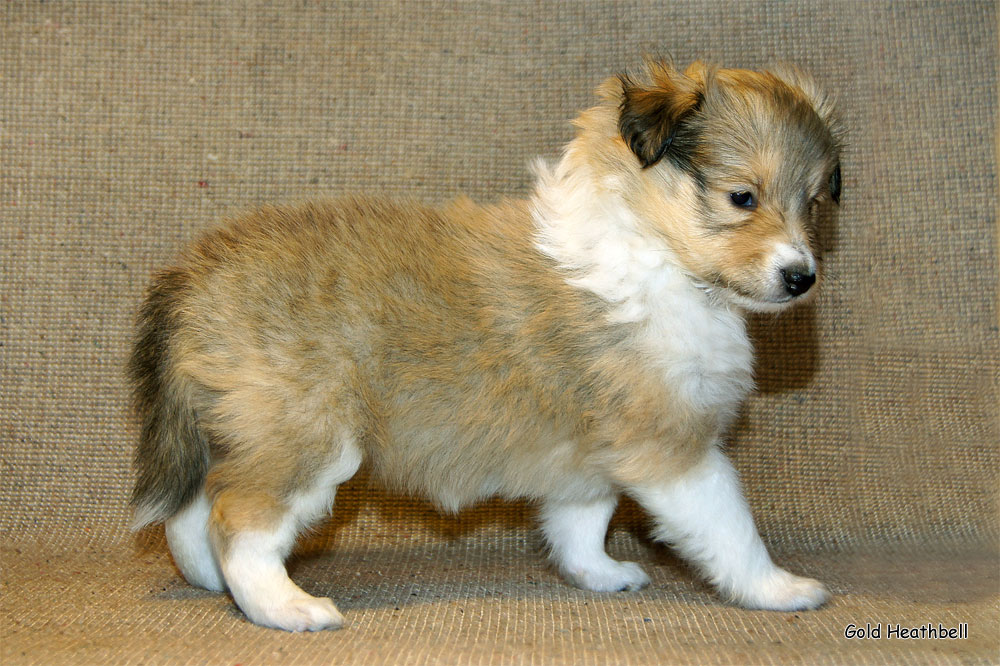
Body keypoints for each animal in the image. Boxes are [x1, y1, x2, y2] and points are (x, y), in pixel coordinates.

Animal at [127, 59, 844, 632]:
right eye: (741, 196)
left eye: (814, 203)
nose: (801, 277)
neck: (656, 253)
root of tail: (194, 272)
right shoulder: (674, 448)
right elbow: (732, 527)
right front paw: (780, 589)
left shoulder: (588, 449)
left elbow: (582, 519)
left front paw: (600, 574)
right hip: (308, 435)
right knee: (240, 520)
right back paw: (286, 608)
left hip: (236, 426)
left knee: (193, 509)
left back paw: (211, 581)